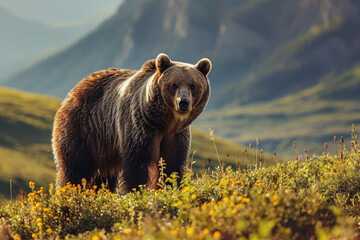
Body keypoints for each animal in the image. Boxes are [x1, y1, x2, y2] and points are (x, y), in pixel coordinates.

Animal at [50, 53, 211, 193]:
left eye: (193, 85)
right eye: (174, 84)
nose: (183, 102)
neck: (164, 122)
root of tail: (74, 90)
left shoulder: (176, 135)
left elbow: (173, 164)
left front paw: (171, 186)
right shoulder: (140, 126)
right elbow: (138, 163)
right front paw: (137, 190)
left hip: (105, 148)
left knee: (104, 176)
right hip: (82, 129)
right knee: (74, 167)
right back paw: (67, 191)